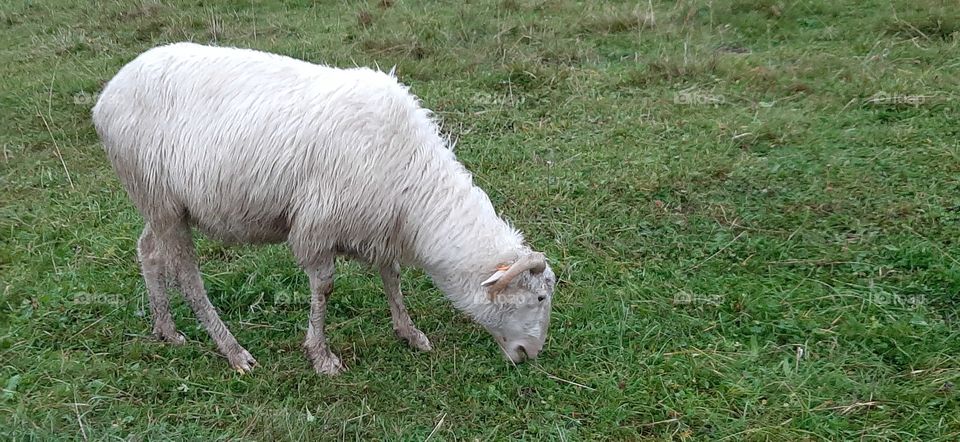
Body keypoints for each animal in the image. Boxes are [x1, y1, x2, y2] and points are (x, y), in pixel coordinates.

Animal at [92, 42, 557, 375]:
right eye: (537, 297)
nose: (531, 354)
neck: (413, 185)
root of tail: (109, 91)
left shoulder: (378, 223)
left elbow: (391, 276)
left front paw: (410, 333)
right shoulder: (318, 225)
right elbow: (325, 288)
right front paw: (321, 356)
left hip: (161, 203)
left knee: (149, 251)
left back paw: (166, 330)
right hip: (160, 198)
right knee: (188, 277)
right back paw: (234, 352)